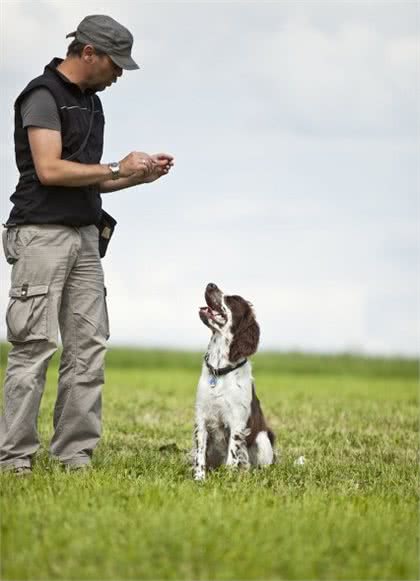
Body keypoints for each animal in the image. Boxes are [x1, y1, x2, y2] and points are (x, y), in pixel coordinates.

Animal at [194, 282, 276, 480]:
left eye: (233, 299)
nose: (210, 284)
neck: (220, 371)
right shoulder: (201, 417)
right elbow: (200, 454)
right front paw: (199, 479)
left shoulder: (237, 422)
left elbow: (232, 456)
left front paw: (227, 479)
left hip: (263, 438)